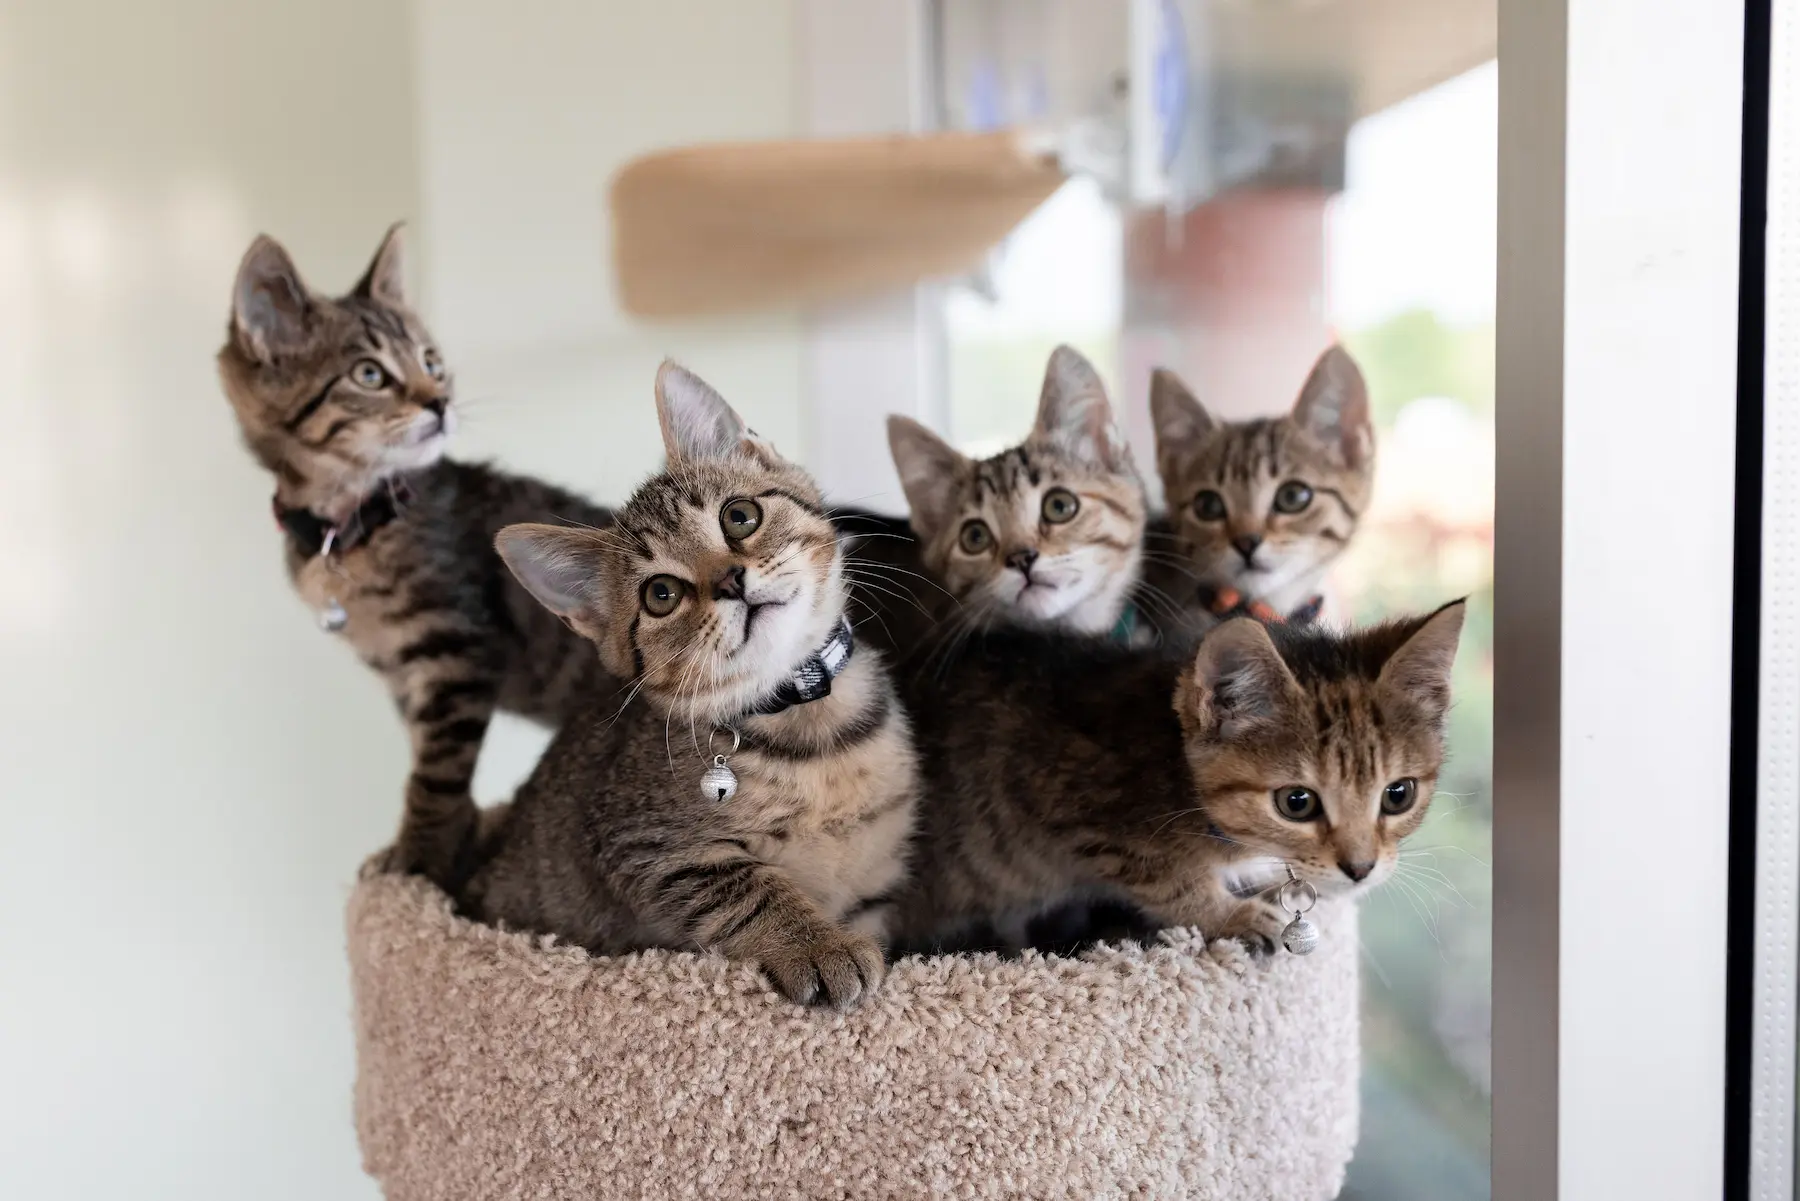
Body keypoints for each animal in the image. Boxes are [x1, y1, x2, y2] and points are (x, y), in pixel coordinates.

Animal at [885, 601, 1461, 957]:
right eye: (1296, 802)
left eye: (1398, 795)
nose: (1361, 869)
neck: (1177, 770)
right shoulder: (1073, 806)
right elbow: (1170, 880)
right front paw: (1231, 915)